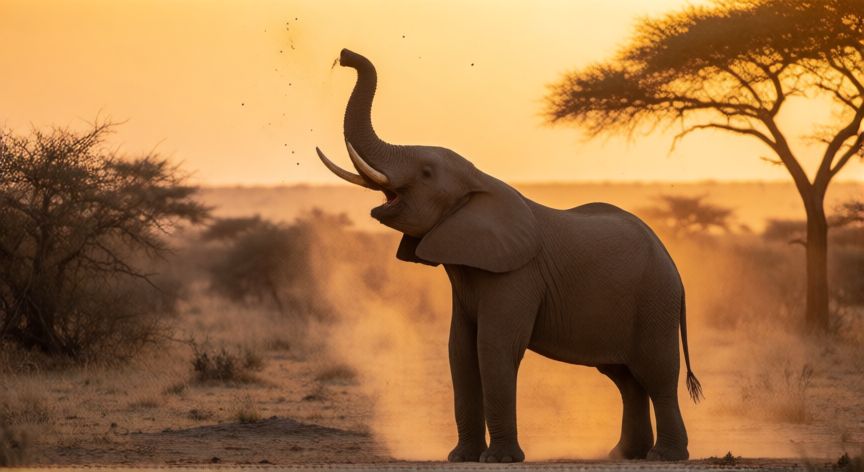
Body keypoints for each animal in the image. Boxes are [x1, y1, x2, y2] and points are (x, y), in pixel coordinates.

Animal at [315, 49, 702, 463]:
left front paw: (499, 459)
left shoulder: (516, 276)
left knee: (657, 375)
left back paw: (665, 456)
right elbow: (460, 351)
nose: (345, 56)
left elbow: (494, 348)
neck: (481, 181)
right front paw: (461, 457)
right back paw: (623, 455)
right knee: (624, 377)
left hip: (655, 302)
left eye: (426, 173)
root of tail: (674, 267)